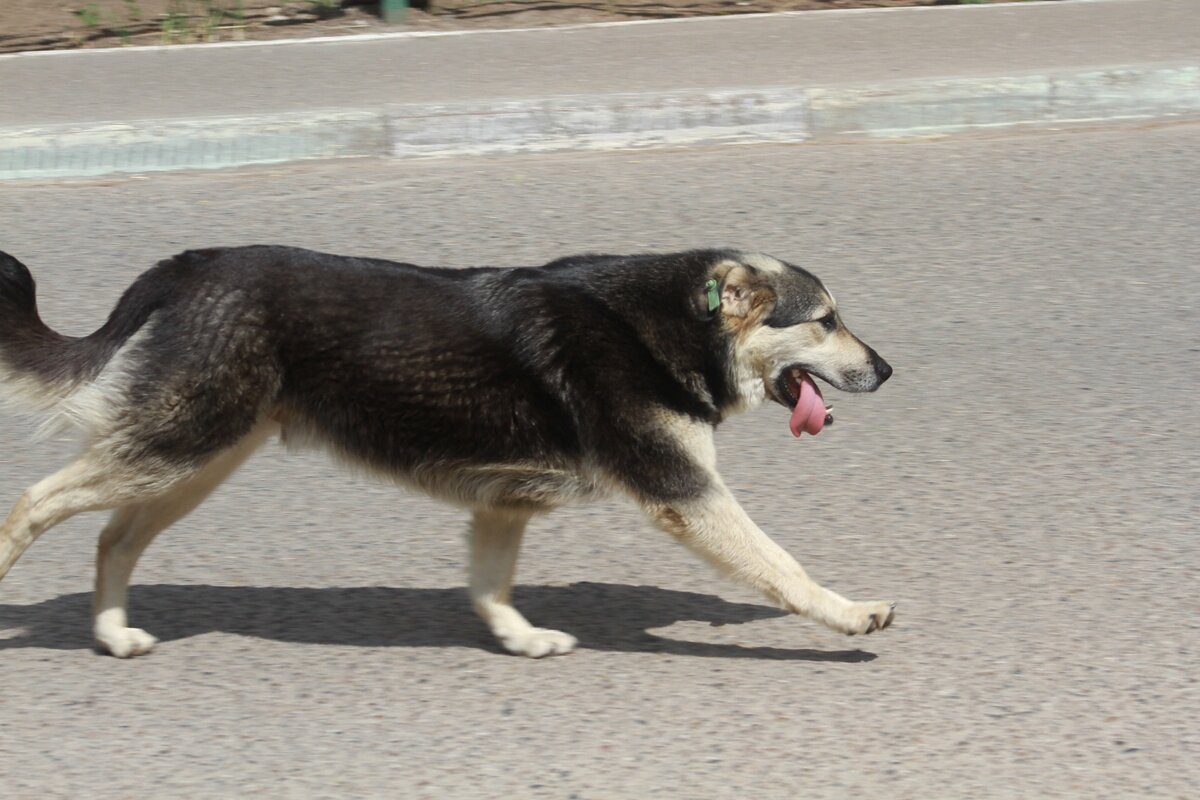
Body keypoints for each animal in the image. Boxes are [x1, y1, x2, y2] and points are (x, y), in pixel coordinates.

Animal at [0, 248, 897, 657]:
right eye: (826, 320)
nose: (887, 371)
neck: (677, 322)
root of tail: (183, 270)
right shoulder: (684, 490)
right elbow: (781, 567)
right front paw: (850, 612)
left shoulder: (502, 502)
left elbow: (489, 586)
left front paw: (521, 638)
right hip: (183, 442)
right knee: (33, 502)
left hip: (198, 457)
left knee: (114, 536)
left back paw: (114, 633)